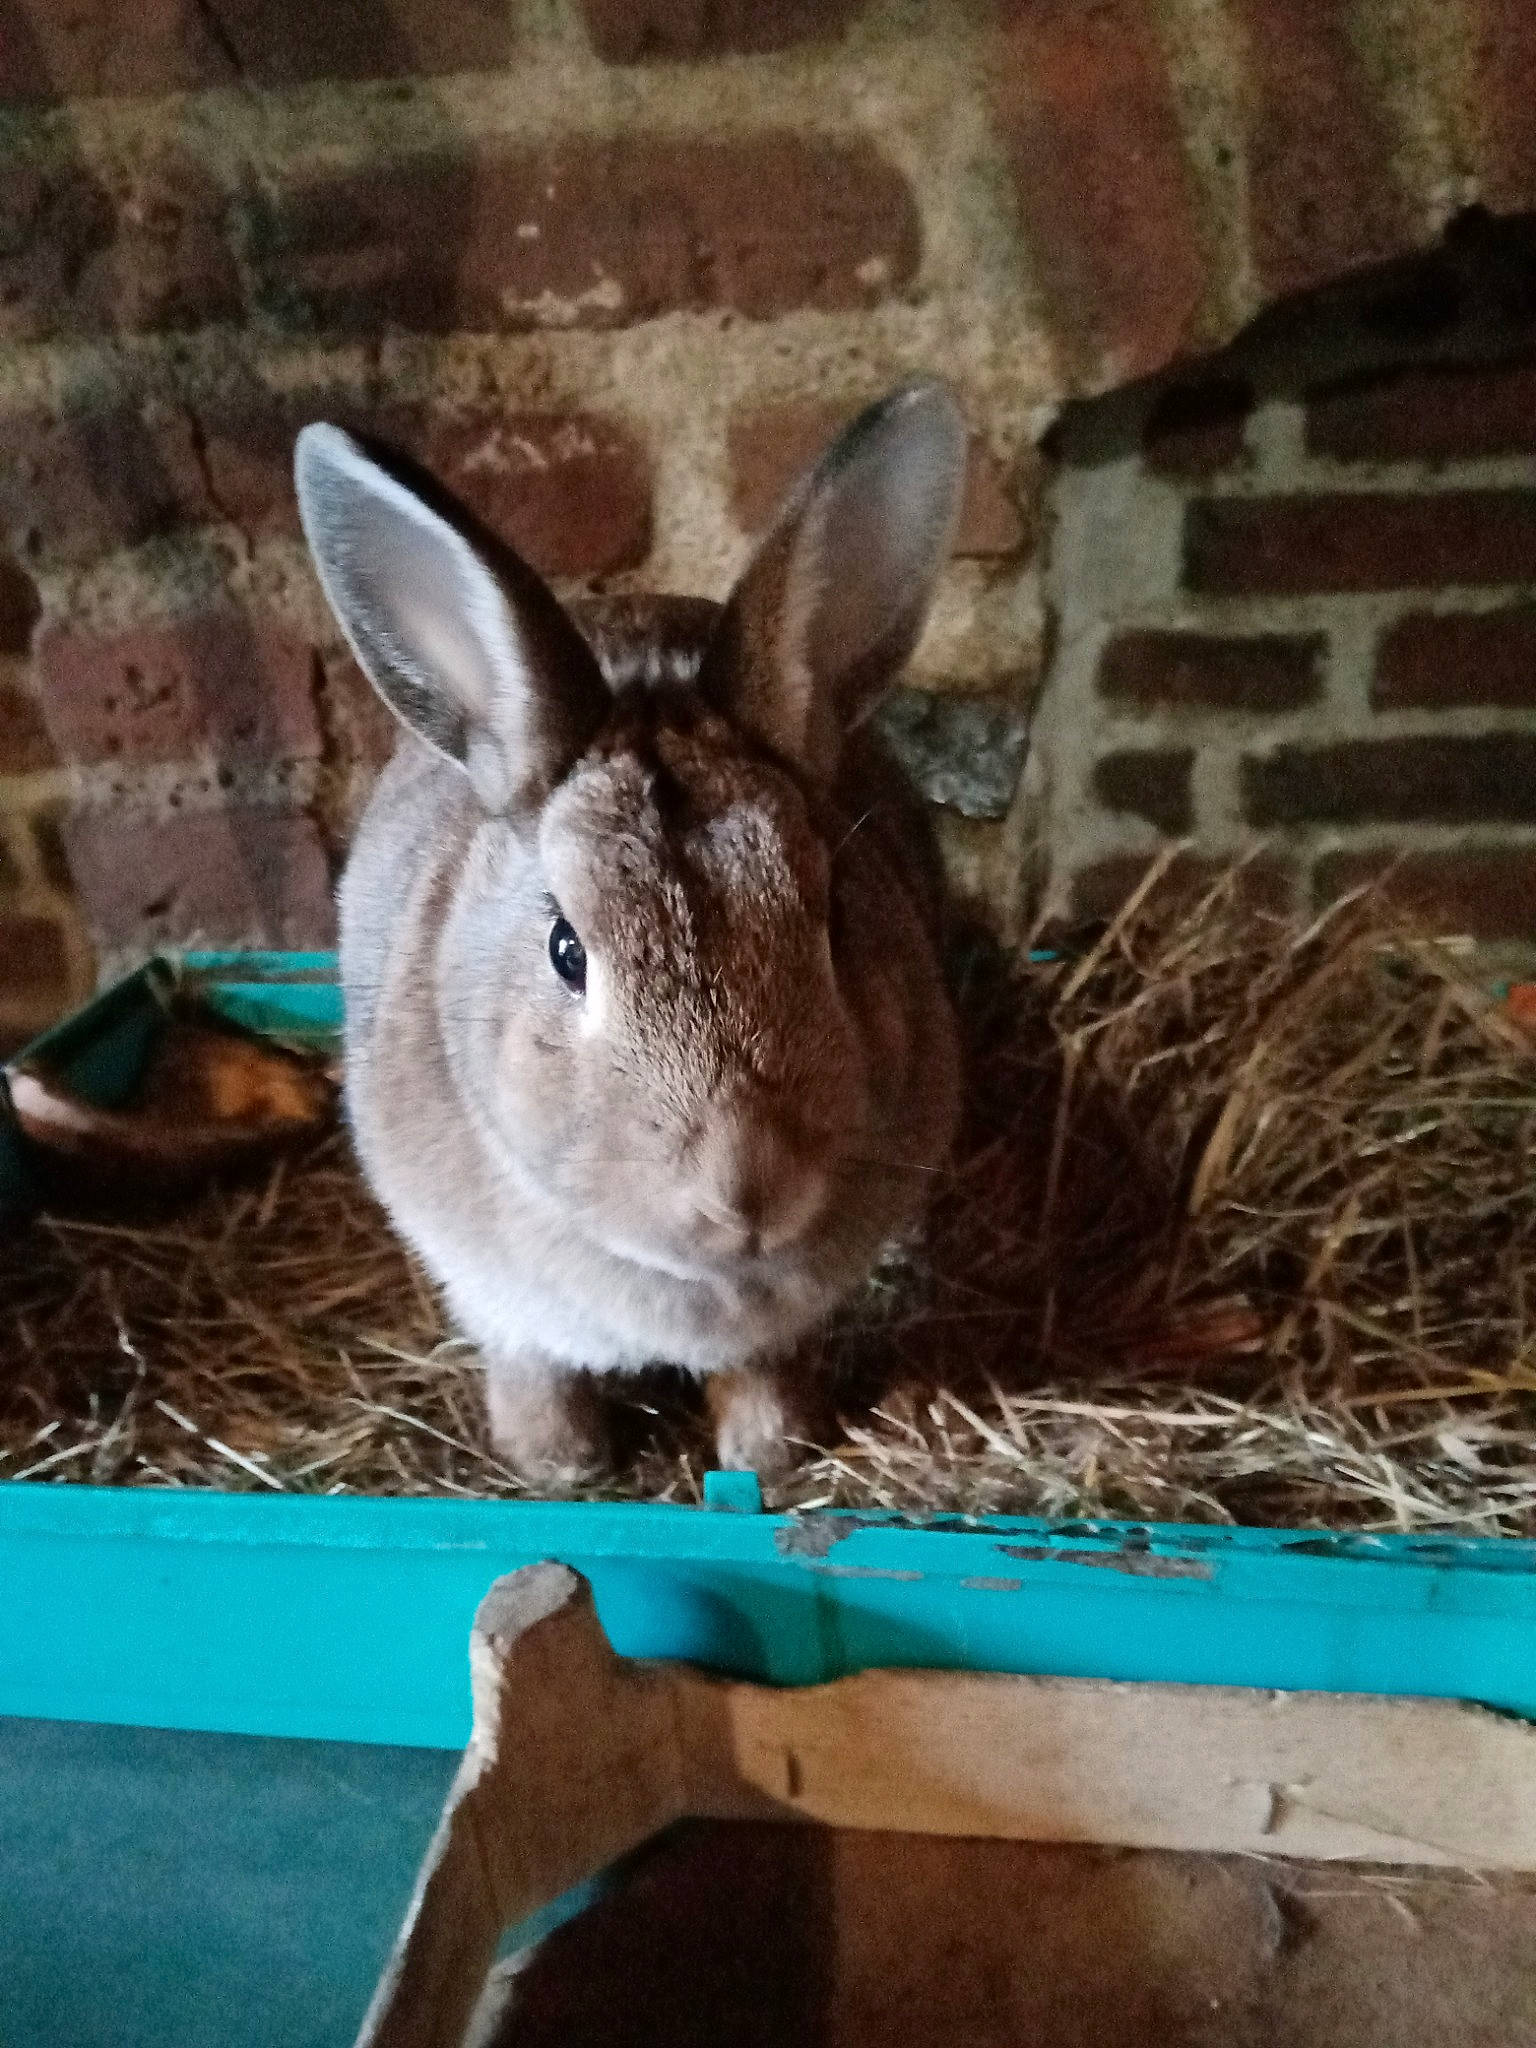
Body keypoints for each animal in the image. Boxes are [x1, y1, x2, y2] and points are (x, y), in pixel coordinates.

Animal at [294, 380, 966, 1488]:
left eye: (831, 915)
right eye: (567, 950)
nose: (746, 1188)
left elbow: (762, 1372)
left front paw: (771, 1453)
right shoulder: (492, 1293)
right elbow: (533, 1368)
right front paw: (559, 1466)